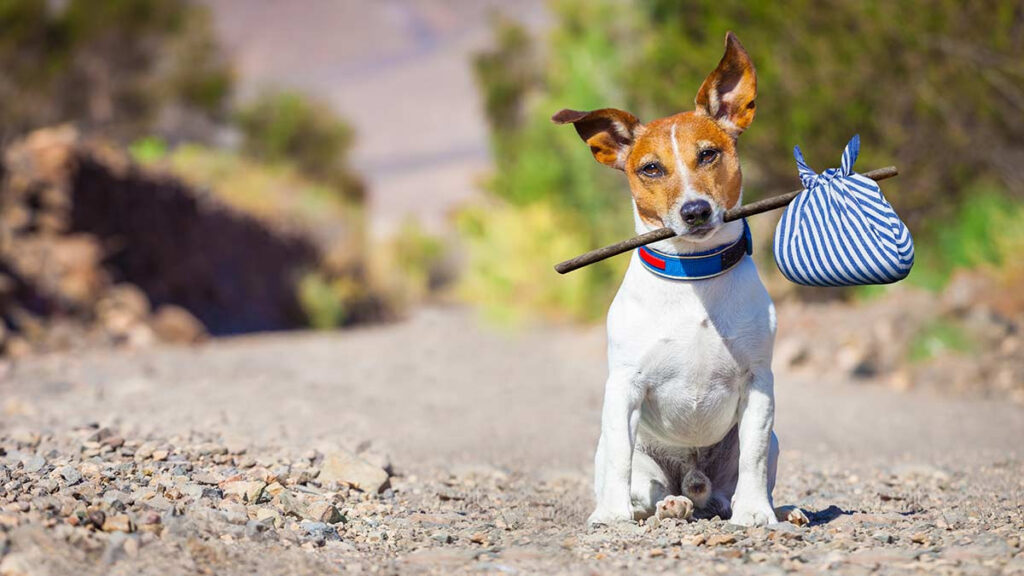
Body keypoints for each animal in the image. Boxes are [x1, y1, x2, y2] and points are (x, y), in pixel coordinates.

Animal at [552, 31, 798, 524]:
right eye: (651, 168)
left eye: (708, 154)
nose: (695, 210)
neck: (695, 276)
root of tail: (693, 479)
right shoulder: (623, 387)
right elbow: (620, 460)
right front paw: (611, 517)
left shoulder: (759, 383)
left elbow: (755, 454)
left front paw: (757, 514)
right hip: (635, 458)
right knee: (645, 487)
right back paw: (669, 504)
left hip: (759, 447)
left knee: (731, 488)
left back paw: (775, 508)